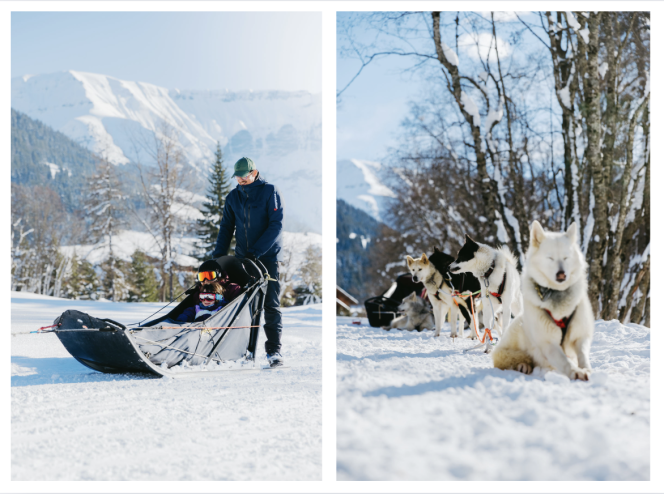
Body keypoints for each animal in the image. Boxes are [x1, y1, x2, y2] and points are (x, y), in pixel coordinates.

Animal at [490, 222, 592, 380]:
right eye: (550, 258)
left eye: (566, 258)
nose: (561, 274)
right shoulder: (548, 343)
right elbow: (565, 361)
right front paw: (576, 372)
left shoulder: (580, 335)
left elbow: (583, 356)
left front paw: (586, 369)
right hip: (516, 332)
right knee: (505, 359)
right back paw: (523, 365)